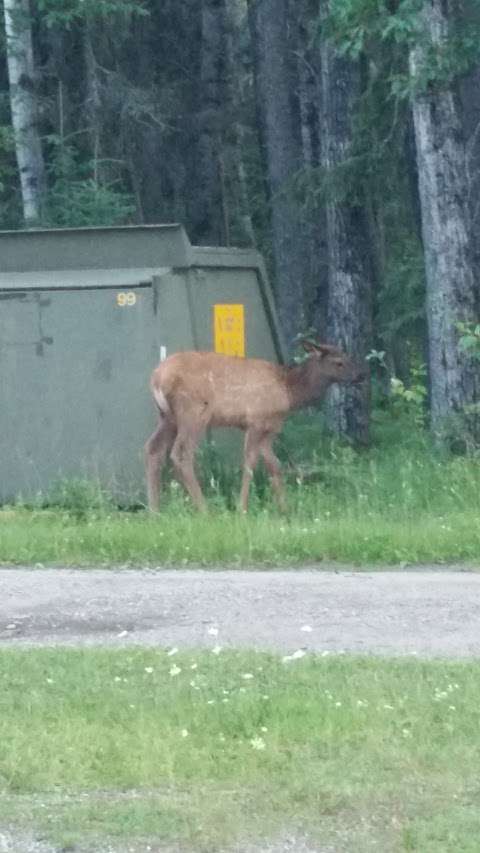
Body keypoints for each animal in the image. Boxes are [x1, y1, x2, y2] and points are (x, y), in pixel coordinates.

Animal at [145, 342, 364, 512]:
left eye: (348, 356)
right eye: (339, 362)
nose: (361, 375)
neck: (289, 392)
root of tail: (157, 378)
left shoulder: (270, 429)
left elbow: (275, 465)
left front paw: (285, 509)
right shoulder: (255, 421)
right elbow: (249, 463)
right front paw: (242, 508)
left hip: (167, 417)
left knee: (153, 448)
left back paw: (155, 512)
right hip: (192, 412)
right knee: (181, 453)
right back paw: (204, 509)